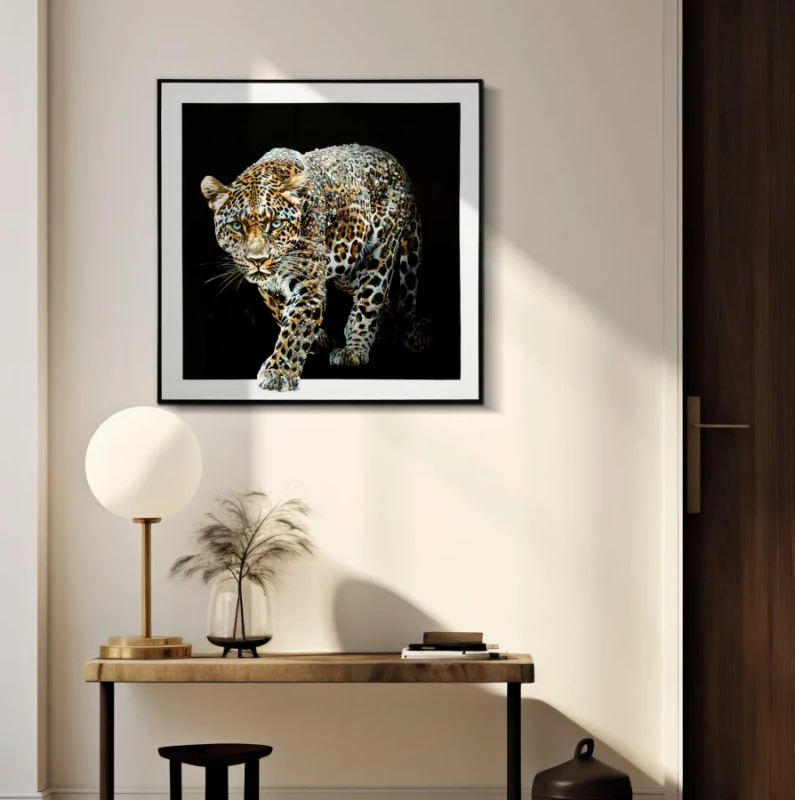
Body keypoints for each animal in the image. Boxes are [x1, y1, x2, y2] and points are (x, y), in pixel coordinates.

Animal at [201, 144, 430, 392]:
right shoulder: (269, 288)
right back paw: (386, 335)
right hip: (346, 265)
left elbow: (295, 328)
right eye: (236, 226)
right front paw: (318, 340)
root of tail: (399, 167)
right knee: (380, 299)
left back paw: (355, 348)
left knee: (369, 300)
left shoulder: (308, 284)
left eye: (276, 224)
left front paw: (278, 372)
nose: (258, 260)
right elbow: (281, 311)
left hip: (380, 252)